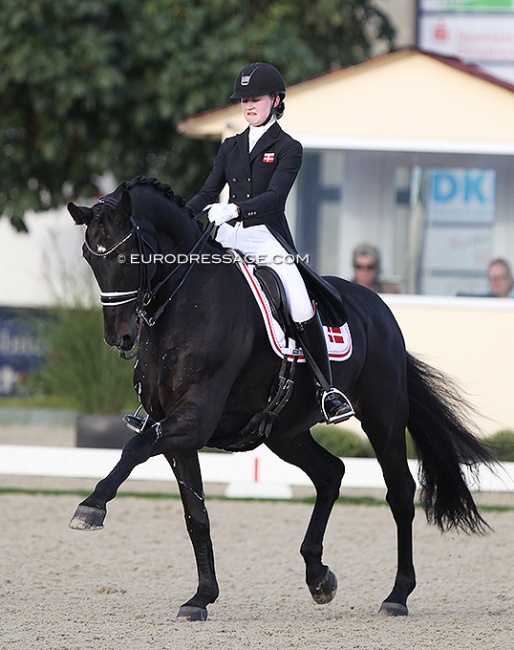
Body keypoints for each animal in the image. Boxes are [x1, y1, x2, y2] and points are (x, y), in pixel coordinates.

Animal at [67, 175, 492, 620]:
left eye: (128, 255)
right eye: (89, 257)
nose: (119, 337)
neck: (186, 303)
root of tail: (379, 308)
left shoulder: (193, 420)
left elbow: (134, 447)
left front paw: (91, 507)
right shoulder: (176, 434)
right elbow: (195, 515)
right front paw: (201, 598)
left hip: (383, 418)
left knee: (400, 493)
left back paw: (397, 596)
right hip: (285, 432)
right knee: (331, 473)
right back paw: (319, 577)